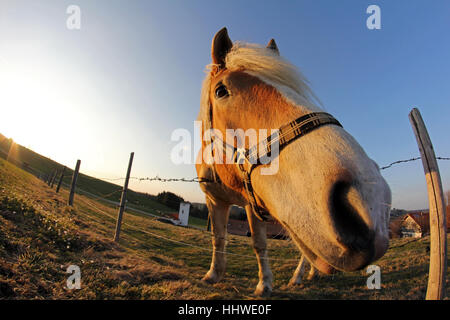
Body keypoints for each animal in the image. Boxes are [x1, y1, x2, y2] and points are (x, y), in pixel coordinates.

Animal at [195, 28, 392, 298]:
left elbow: (259, 244)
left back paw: (301, 276)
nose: (367, 196)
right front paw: (213, 275)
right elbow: (218, 238)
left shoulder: (252, 204)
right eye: (221, 91)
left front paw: (264, 284)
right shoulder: (213, 199)